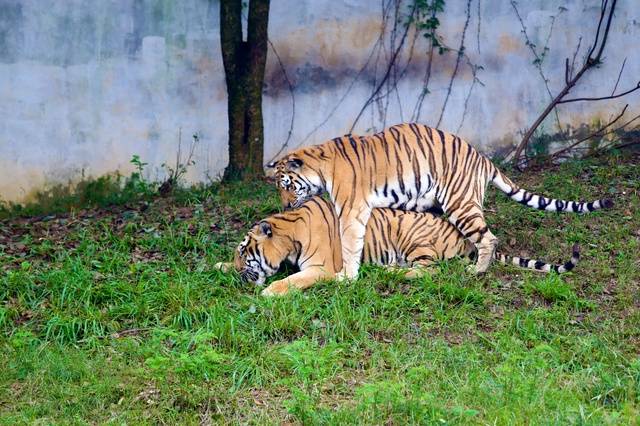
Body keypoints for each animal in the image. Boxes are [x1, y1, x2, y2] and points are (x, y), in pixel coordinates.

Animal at [215, 196, 580, 296]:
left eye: (246, 252)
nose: (240, 270)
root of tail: (462, 236)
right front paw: (219, 266)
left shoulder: (321, 268)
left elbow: (293, 280)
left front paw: (269, 291)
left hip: (414, 239)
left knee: (430, 272)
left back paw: (393, 273)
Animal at [264, 122, 608, 280]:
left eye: (286, 185)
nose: (285, 206)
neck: (321, 166)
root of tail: (482, 157)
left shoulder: (352, 210)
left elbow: (349, 244)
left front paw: (347, 276)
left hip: (460, 202)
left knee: (488, 238)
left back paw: (477, 271)